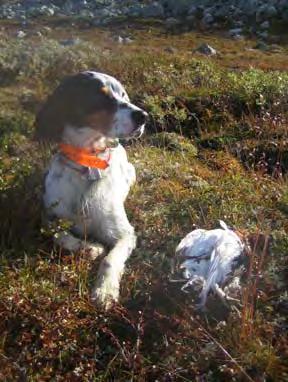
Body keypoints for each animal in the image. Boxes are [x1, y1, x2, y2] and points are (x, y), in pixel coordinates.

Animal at [35, 71, 147, 308]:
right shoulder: (47, 217)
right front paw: (91, 248)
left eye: (124, 95)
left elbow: (110, 259)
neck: (87, 167)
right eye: (101, 97)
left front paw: (105, 291)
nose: (143, 116)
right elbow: (59, 235)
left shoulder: (126, 234)